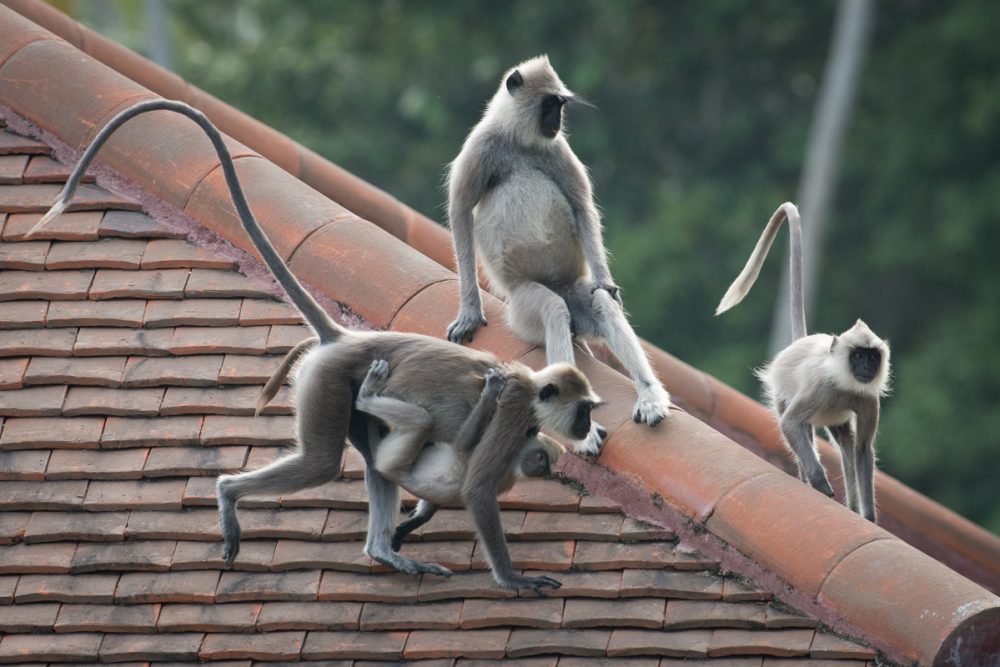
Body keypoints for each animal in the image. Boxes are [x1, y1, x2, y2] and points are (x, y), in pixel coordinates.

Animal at [23, 100, 600, 596]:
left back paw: (384, 551)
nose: (587, 426)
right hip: (326, 383)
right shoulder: (512, 413)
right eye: (585, 411)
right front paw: (514, 579)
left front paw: (413, 523)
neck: (531, 390)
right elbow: (478, 487)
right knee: (323, 462)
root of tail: (344, 338)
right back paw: (229, 495)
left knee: (373, 460)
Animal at [446, 56, 672, 454]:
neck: (520, 141)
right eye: (550, 104)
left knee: (600, 303)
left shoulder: (557, 148)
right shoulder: (482, 145)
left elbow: (582, 208)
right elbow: (459, 212)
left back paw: (649, 396)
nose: (557, 120)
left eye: (561, 105)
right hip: (523, 306)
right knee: (553, 310)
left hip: (573, 293)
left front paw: (606, 282)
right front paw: (470, 312)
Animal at [716, 201, 896, 524]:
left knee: (846, 442)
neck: (843, 381)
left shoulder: (867, 399)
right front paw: (820, 484)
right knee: (800, 426)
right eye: (858, 356)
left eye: (872, 357)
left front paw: (868, 517)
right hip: (782, 392)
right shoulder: (820, 387)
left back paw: (852, 505)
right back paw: (808, 480)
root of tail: (799, 343)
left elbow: (863, 450)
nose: (866, 368)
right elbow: (790, 424)